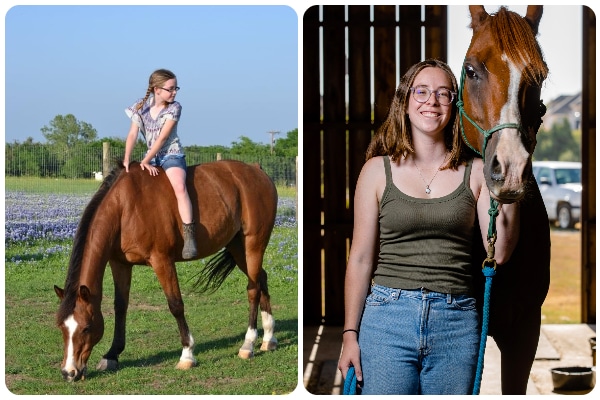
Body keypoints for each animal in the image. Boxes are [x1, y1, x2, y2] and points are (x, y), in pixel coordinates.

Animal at [52, 159, 278, 382]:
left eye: (86, 328)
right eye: (61, 327)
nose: (69, 372)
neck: (125, 207)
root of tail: (256, 170)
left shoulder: (162, 260)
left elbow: (176, 305)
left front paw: (187, 354)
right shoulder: (120, 264)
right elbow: (120, 306)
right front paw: (112, 355)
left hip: (254, 244)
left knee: (253, 289)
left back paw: (248, 344)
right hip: (237, 246)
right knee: (261, 279)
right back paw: (269, 338)